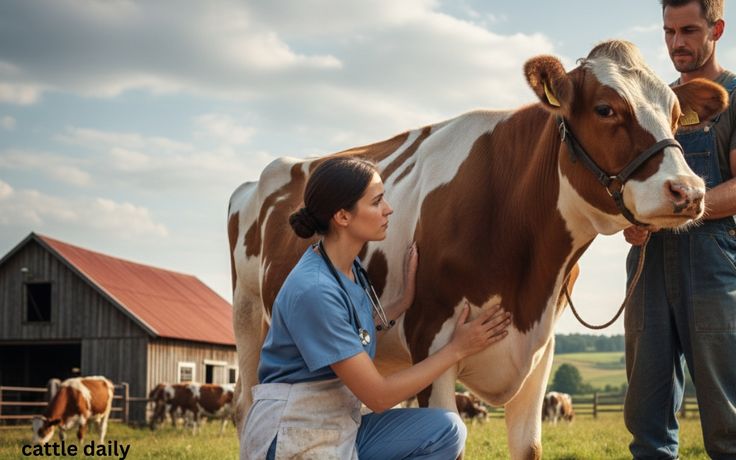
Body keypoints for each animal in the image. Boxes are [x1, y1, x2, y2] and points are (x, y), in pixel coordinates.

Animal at [228, 40, 727, 459]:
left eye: (675, 115)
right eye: (605, 108)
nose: (688, 191)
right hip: (248, 317)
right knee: (246, 406)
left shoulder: (539, 354)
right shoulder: (432, 341)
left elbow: (528, 448)